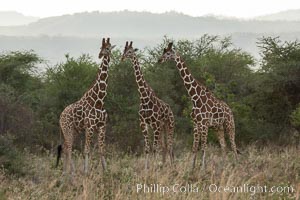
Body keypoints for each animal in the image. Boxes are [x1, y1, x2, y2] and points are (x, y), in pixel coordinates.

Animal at [56, 37, 115, 173]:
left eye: (108, 47)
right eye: (101, 47)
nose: (100, 55)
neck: (100, 101)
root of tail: (61, 115)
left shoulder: (102, 126)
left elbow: (102, 150)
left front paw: (106, 171)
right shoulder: (90, 126)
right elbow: (87, 150)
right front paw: (86, 171)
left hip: (73, 130)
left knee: (66, 147)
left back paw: (67, 171)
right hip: (67, 129)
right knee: (68, 148)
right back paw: (70, 171)